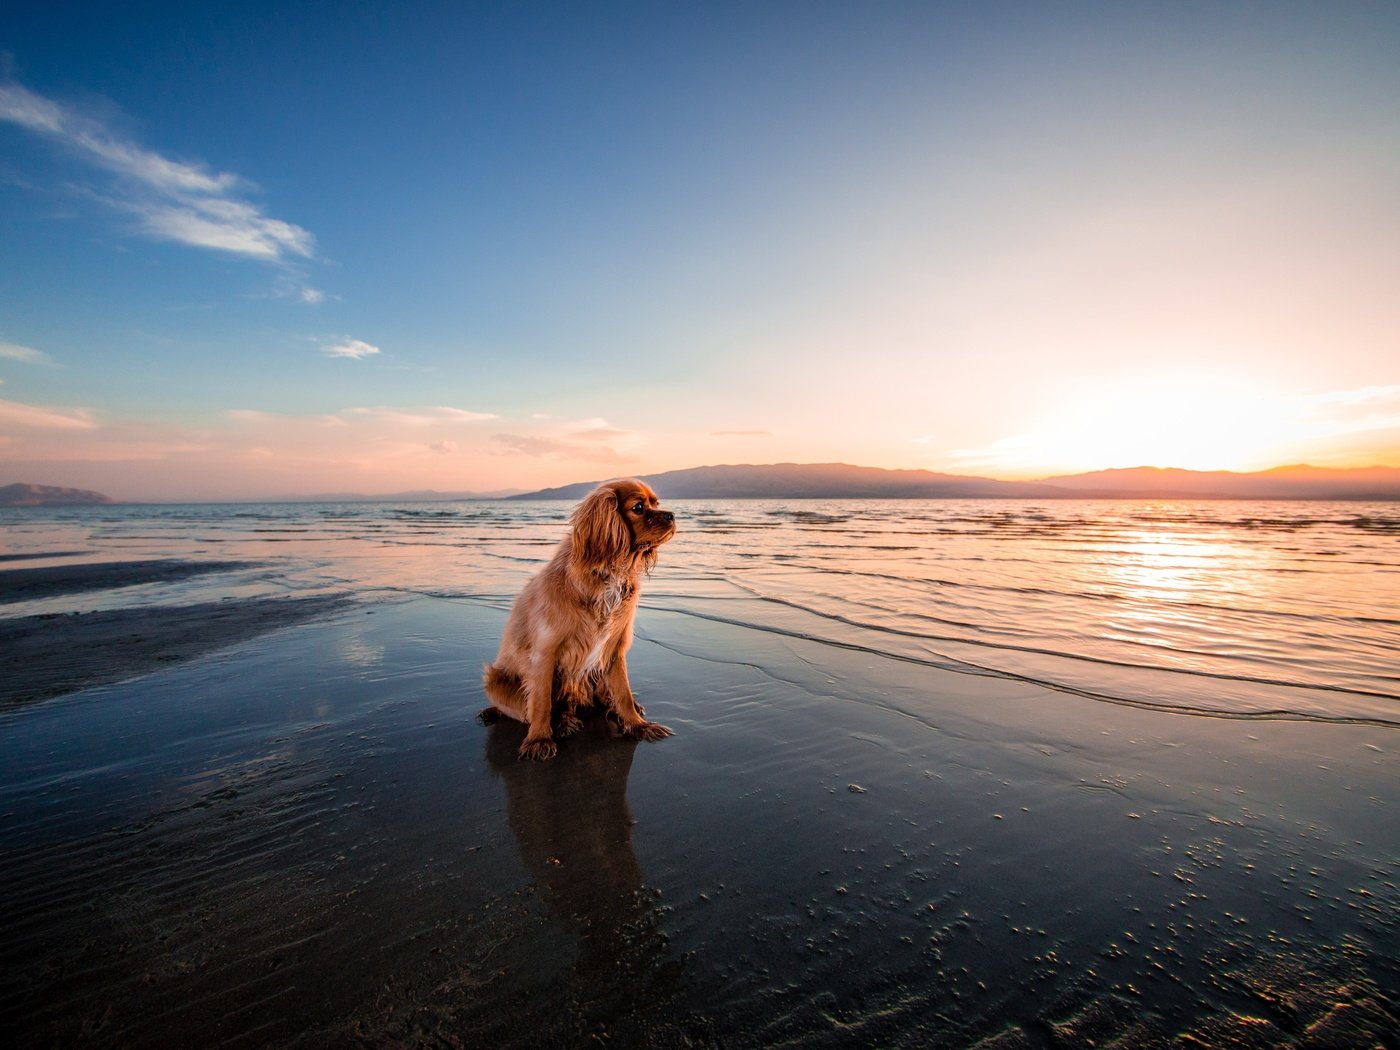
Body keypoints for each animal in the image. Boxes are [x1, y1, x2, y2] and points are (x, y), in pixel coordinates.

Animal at [481, 481, 677, 761]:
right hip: (495, 680)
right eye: (639, 508)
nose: (672, 515)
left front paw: (638, 725)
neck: (608, 574)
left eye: (657, 504)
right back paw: (563, 723)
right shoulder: (545, 652)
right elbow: (541, 702)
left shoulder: (614, 650)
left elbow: (623, 693)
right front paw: (539, 739)